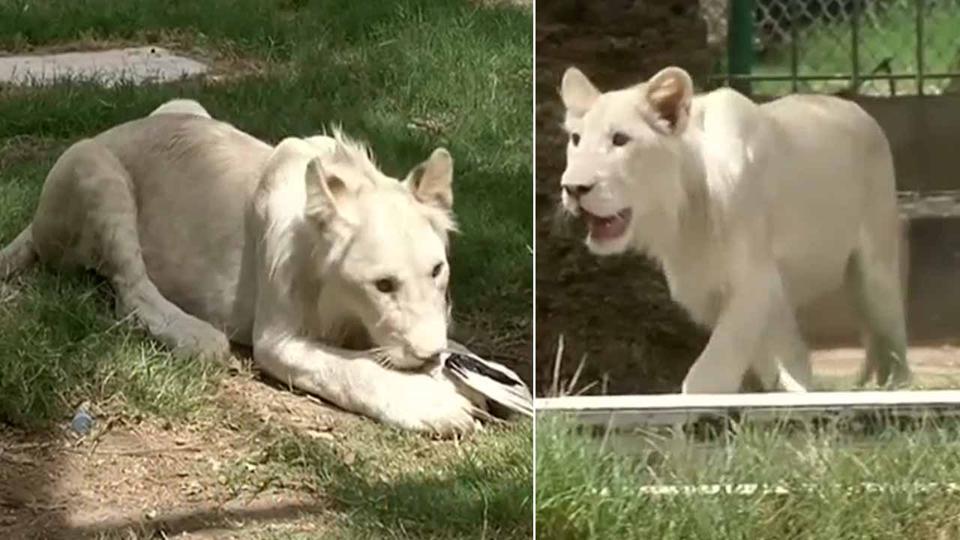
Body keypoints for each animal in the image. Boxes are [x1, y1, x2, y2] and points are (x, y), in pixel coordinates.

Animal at [1, 100, 532, 434]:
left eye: (438, 271)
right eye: (382, 284)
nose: (428, 355)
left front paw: (483, 374)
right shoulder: (278, 340)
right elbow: (351, 371)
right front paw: (433, 402)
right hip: (90, 164)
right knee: (129, 288)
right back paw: (196, 335)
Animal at [556, 66, 908, 392]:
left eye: (620, 139)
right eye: (576, 140)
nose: (573, 188)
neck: (684, 212)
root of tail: (854, 107)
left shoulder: (755, 281)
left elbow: (711, 371)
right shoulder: (711, 290)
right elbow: (772, 358)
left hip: (876, 271)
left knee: (892, 334)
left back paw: (897, 385)